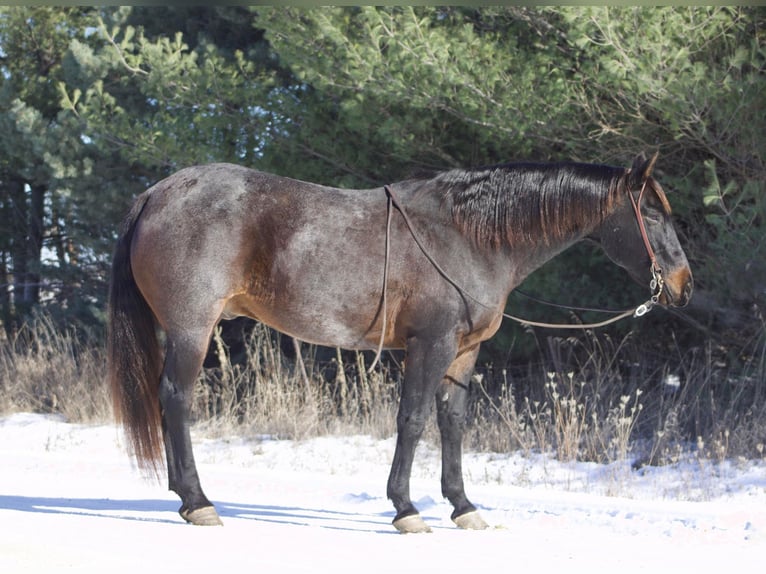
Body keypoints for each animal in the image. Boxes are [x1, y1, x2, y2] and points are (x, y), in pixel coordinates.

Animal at [106, 154, 696, 536]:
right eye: (652, 213)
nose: (683, 285)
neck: (468, 236)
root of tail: (157, 194)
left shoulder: (463, 351)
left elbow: (453, 422)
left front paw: (463, 506)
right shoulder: (430, 344)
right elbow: (412, 419)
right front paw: (406, 508)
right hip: (192, 330)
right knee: (176, 400)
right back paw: (197, 501)